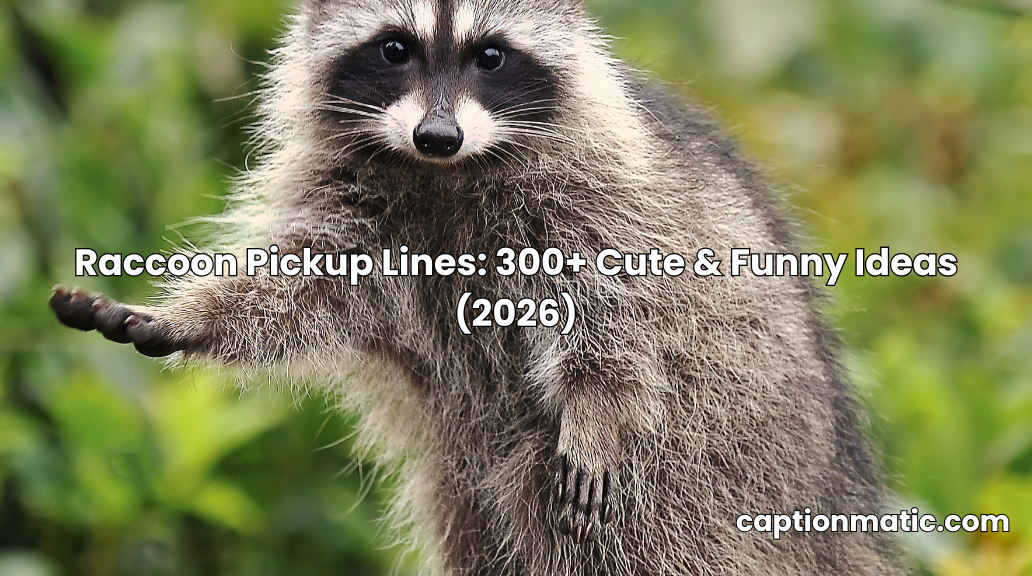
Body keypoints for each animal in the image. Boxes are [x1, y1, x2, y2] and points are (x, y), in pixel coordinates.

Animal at [51, 0, 911, 574]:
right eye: (394, 49)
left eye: (489, 56)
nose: (438, 134)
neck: (445, 173)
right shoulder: (351, 208)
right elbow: (296, 289)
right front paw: (188, 318)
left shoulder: (600, 201)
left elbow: (617, 320)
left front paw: (597, 406)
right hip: (465, 482)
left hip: (707, 473)